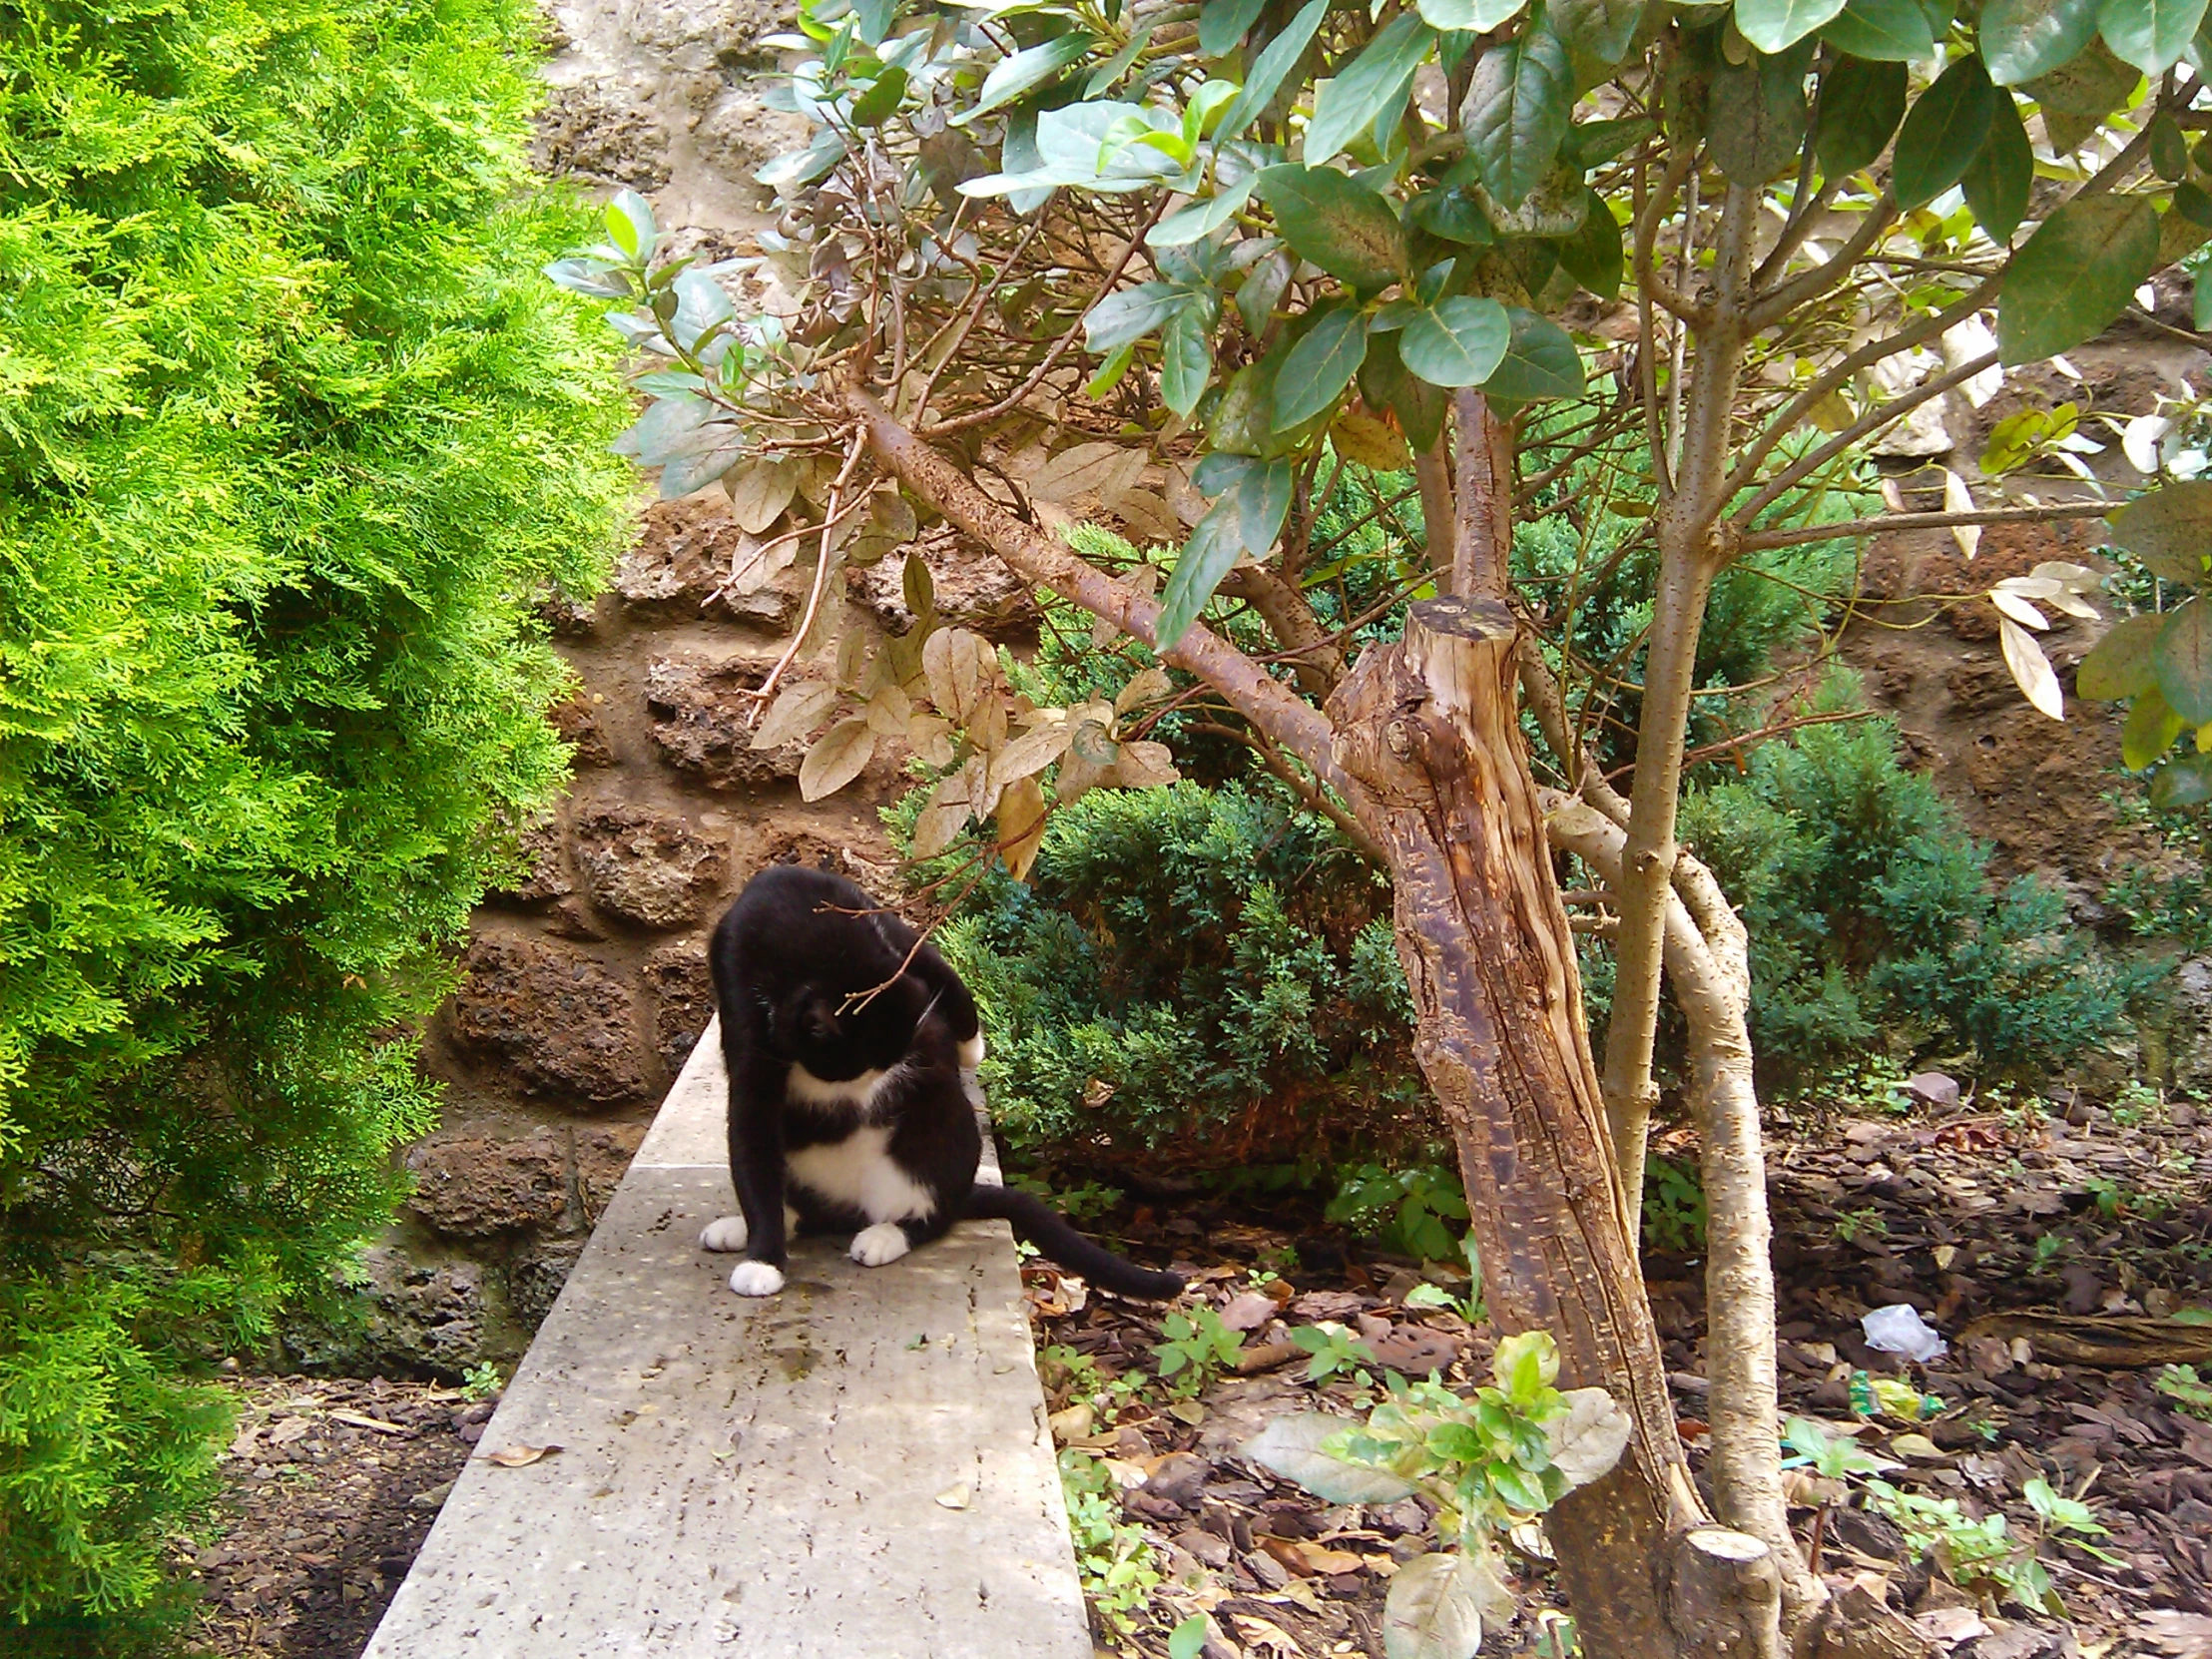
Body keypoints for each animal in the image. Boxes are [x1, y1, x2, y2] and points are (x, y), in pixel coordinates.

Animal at [703, 862, 1194, 1309]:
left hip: (938, 1148)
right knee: (802, 1205)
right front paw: (763, 1258)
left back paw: (885, 1236)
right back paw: (747, 1226)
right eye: (856, 1069)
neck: (800, 927)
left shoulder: (893, 932)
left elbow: (948, 978)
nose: (875, 1095)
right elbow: (751, 1147)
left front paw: (970, 1049)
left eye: (882, 1065)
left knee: (933, 1214)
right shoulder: (744, 1022)